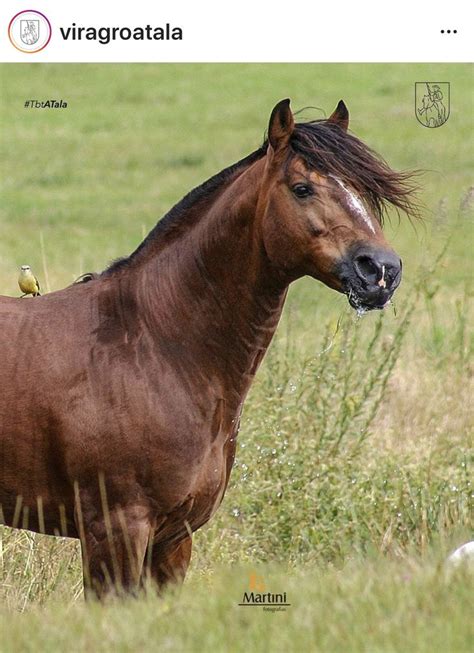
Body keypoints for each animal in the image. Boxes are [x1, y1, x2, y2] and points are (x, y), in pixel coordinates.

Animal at [0, 98, 414, 596]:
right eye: (301, 188)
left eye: (365, 193)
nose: (382, 271)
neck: (156, 348)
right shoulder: (114, 531)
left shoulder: (173, 540)